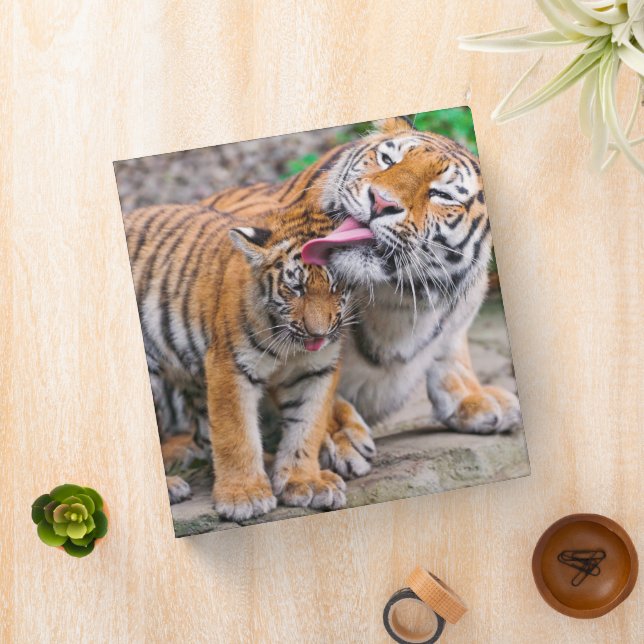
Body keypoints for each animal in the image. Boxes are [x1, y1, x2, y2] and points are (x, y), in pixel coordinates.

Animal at [123, 202, 358, 520]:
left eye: (337, 286)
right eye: (296, 288)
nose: (318, 334)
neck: (290, 343)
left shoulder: (316, 370)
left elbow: (307, 425)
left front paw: (305, 481)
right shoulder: (231, 366)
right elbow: (236, 434)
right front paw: (244, 496)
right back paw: (172, 486)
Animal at [197, 114, 522, 476]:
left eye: (441, 194)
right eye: (388, 160)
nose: (380, 201)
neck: (396, 300)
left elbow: (452, 351)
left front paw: (473, 398)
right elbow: (307, 387)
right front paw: (339, 436)